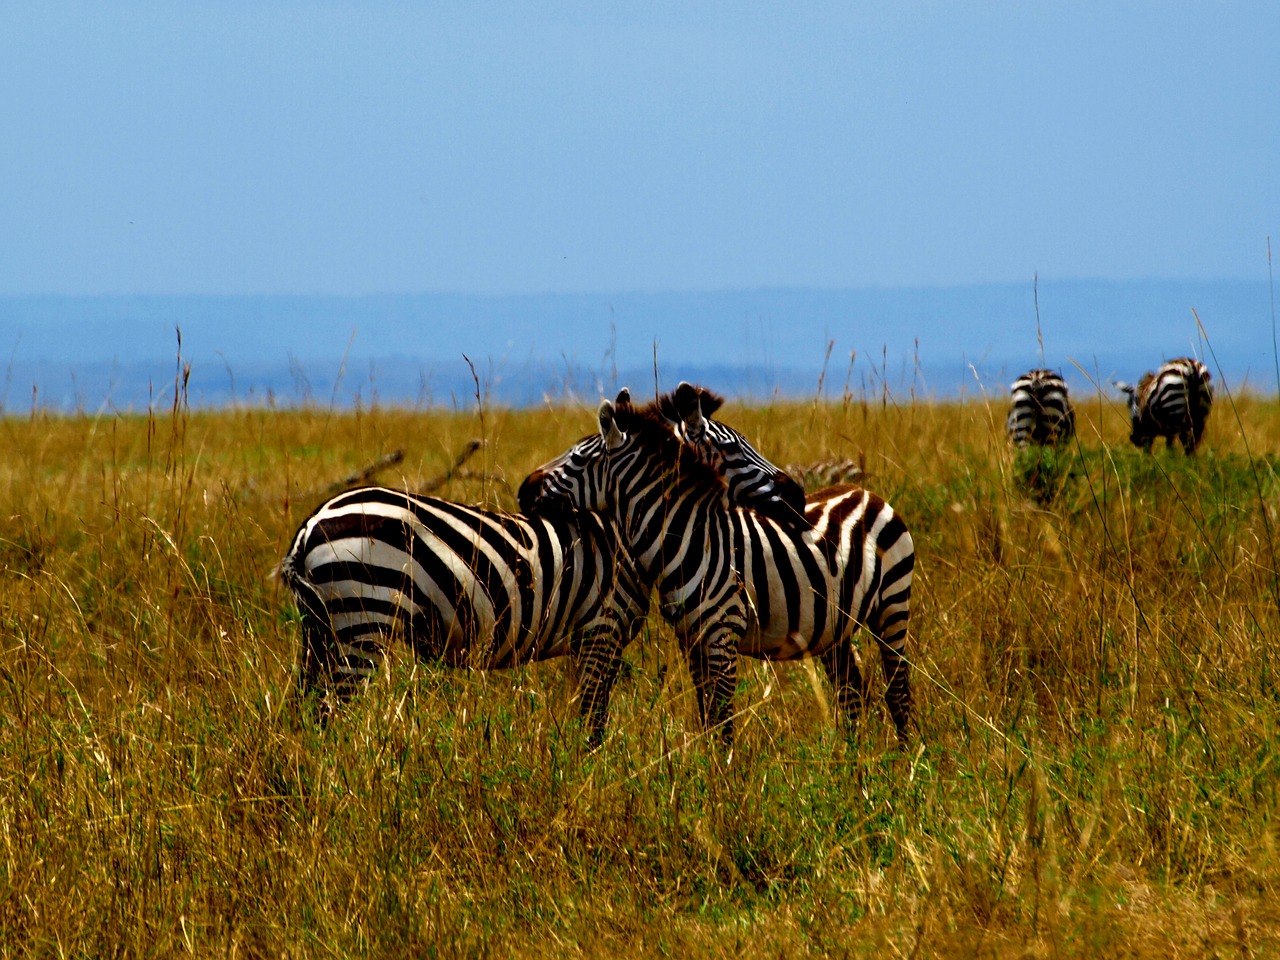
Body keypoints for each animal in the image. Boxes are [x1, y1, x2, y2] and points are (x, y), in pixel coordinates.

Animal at [514, 386, 916, 747]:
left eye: (576, 460)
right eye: (733, 448)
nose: (523, 489)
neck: (688, 539)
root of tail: (863, 491)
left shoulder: (723, 632)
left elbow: (722, 717)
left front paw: (725, 777)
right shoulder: (691, 638)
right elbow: (707, 713)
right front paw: (712, 770)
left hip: (892, 608)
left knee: (898, 692)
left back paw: (903, 765)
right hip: (835, 629)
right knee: (852, 696)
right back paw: (851, 762)